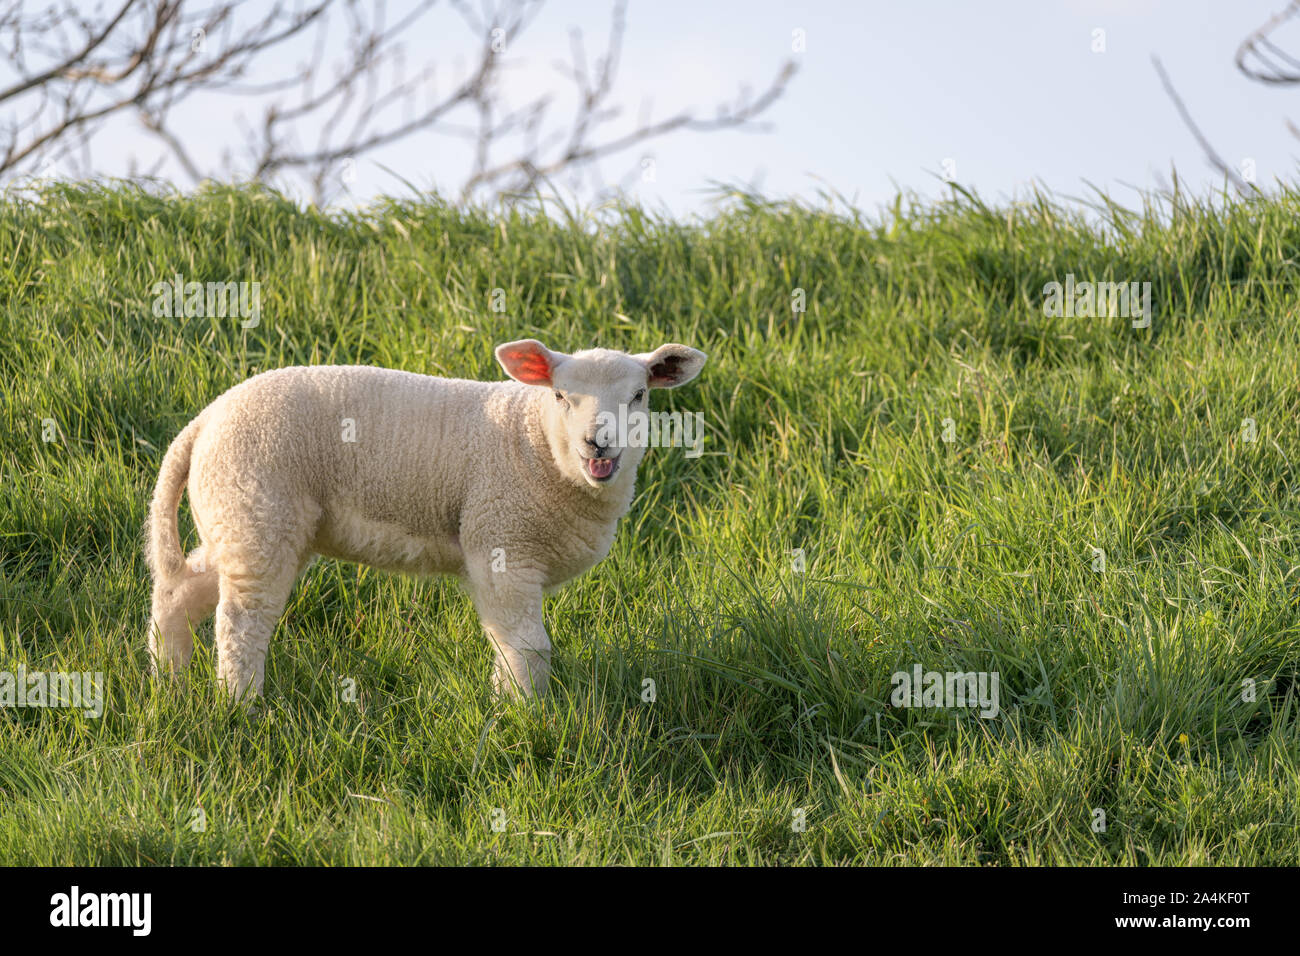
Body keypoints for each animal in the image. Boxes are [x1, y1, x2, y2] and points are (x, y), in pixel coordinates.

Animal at [145, 339, 707, 701]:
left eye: (639, 395)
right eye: (560, 395)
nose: (599, 442)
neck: (537, 445)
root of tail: (203, 422)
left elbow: (507, 645)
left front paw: (505, 705)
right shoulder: (503, 540)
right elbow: (528, 648)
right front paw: (526, 717)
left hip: (240, 519)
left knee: (178, 590)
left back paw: (168, 680)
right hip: (256, 509)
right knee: (241, 623)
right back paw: (241, 706)